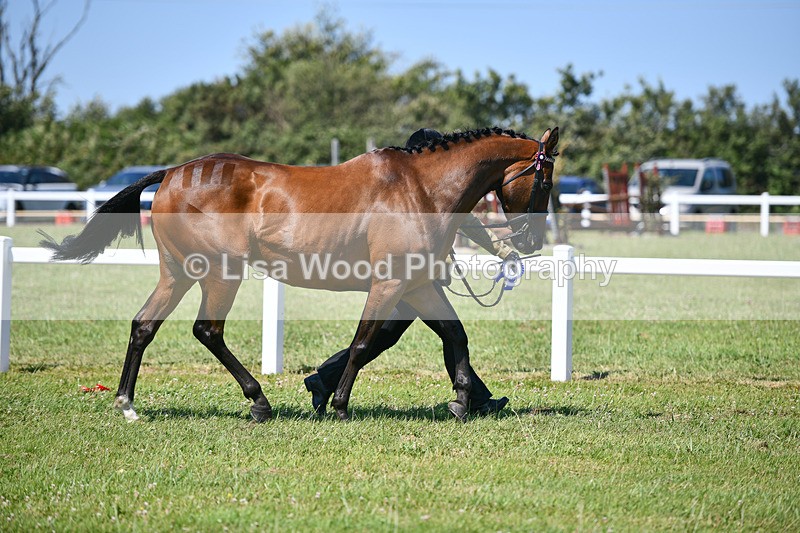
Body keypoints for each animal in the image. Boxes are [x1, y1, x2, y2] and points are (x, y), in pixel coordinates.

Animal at [41, 126, 560, 422]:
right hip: (219, 274)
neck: (422, 189)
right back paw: (258, 402)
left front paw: (463, 401)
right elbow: (365, 341)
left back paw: (127, 404)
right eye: (546, 179)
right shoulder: (390, 283)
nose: (531, 241)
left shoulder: (417, 285)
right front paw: (340, 405)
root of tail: (171, 173)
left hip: (179, 274)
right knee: (207, 330)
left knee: (144, 326)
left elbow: (455, 336)